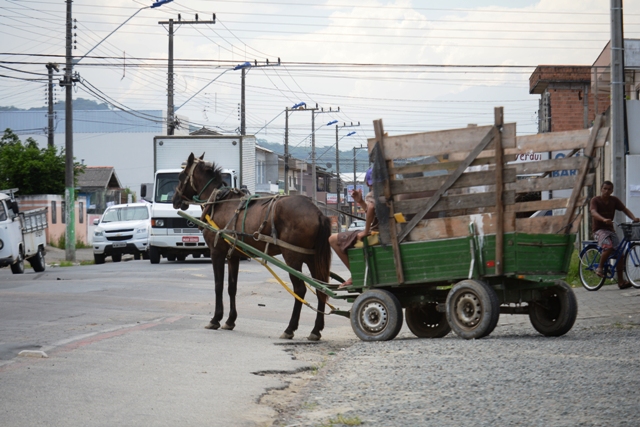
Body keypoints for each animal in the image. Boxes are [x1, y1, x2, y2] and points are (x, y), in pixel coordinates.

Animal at [172, 153, 332, 342]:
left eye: (180, 176)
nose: (175, 200)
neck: (219, 202)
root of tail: (318, 212)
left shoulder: (217, 252)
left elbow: (218, 285)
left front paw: (215, 319)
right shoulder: (233, 255)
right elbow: (231, 287)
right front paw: (230, 320)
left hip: (293, 257)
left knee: (300, 289)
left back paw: (290, 328)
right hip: (312, 257)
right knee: (321, 288)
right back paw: (316, 329)